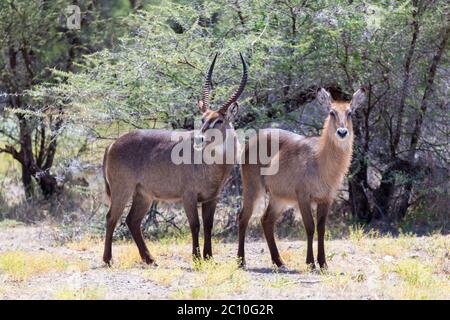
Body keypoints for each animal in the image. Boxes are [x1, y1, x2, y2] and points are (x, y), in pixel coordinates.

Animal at [102, 53, 248, 264]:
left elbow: (209, 225)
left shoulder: (212, 197)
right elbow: (195, 225)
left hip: (143, 194)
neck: (214, 164)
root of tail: (113, 144)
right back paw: (109, 259)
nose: (199, 138)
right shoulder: (188, 196)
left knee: (132, 220)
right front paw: (196, 257)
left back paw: (149, 259)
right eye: (203, 119)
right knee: (111, 217)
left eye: (219, 120)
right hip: (122, 189)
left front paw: (209, 257)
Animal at [236, 87, 366, 270]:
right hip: (253, 188)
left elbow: (321, 228)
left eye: (350, 112)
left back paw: (279, 262)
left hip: (279, 198)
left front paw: (323, 263)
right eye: (332, 112)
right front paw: (310, 263)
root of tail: (252, 139)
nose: (342, 132)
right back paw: (241, 261)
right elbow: (310, 227)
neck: (320, 160)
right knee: (243, 217)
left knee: (266, 220)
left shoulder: (326, 198)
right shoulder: (303, 197)